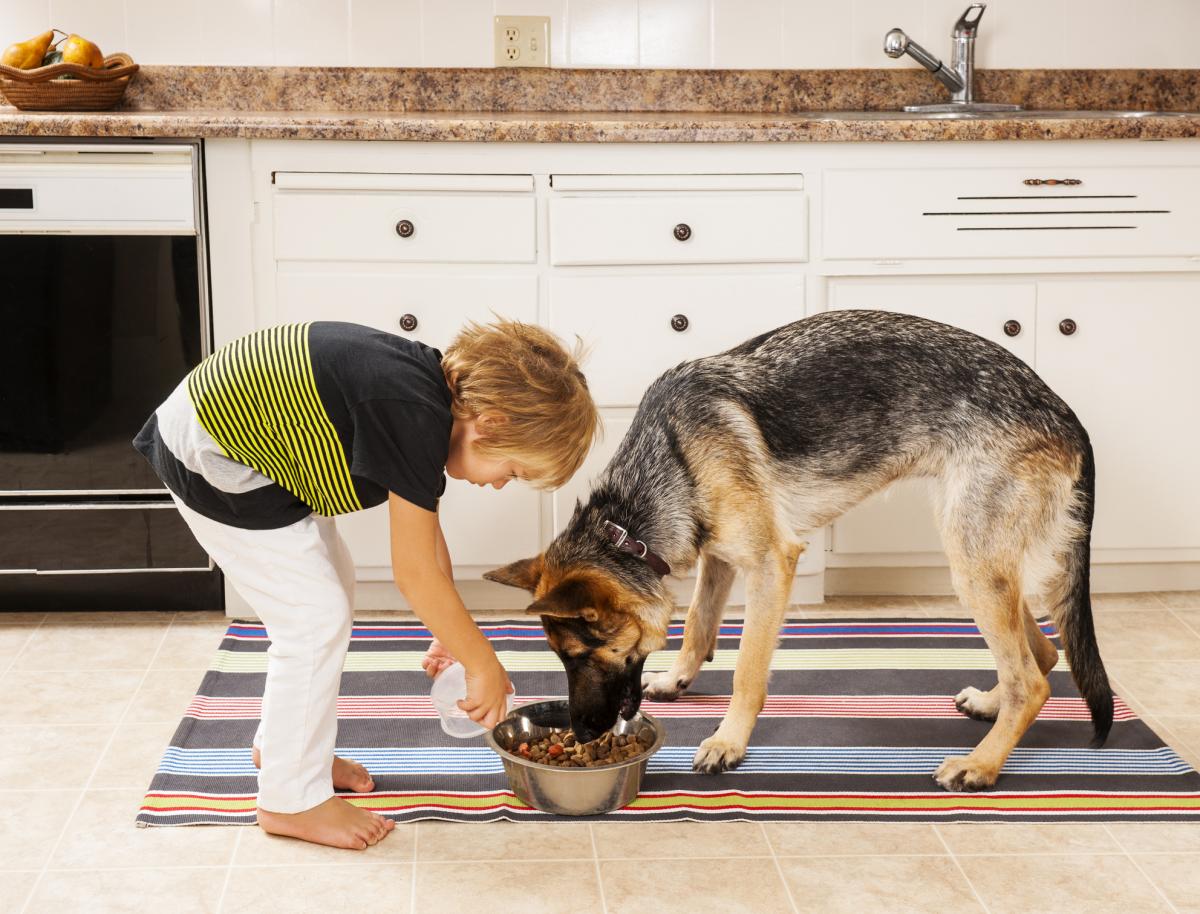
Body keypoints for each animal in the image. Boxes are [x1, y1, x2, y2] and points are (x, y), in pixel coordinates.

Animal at [482, 307, 1108, 791]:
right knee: (1043, 654)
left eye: (580, 656)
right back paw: (989, 707)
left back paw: (981, 765)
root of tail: (1068, 414)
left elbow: (746, 670)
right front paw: (678, 679)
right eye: (562, 658)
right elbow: (699, 626)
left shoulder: (769, 564)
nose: (585, 734)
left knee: (1032, 679)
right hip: (983, 562)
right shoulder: (718, 555)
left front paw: (728, 741)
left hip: (971, 562)